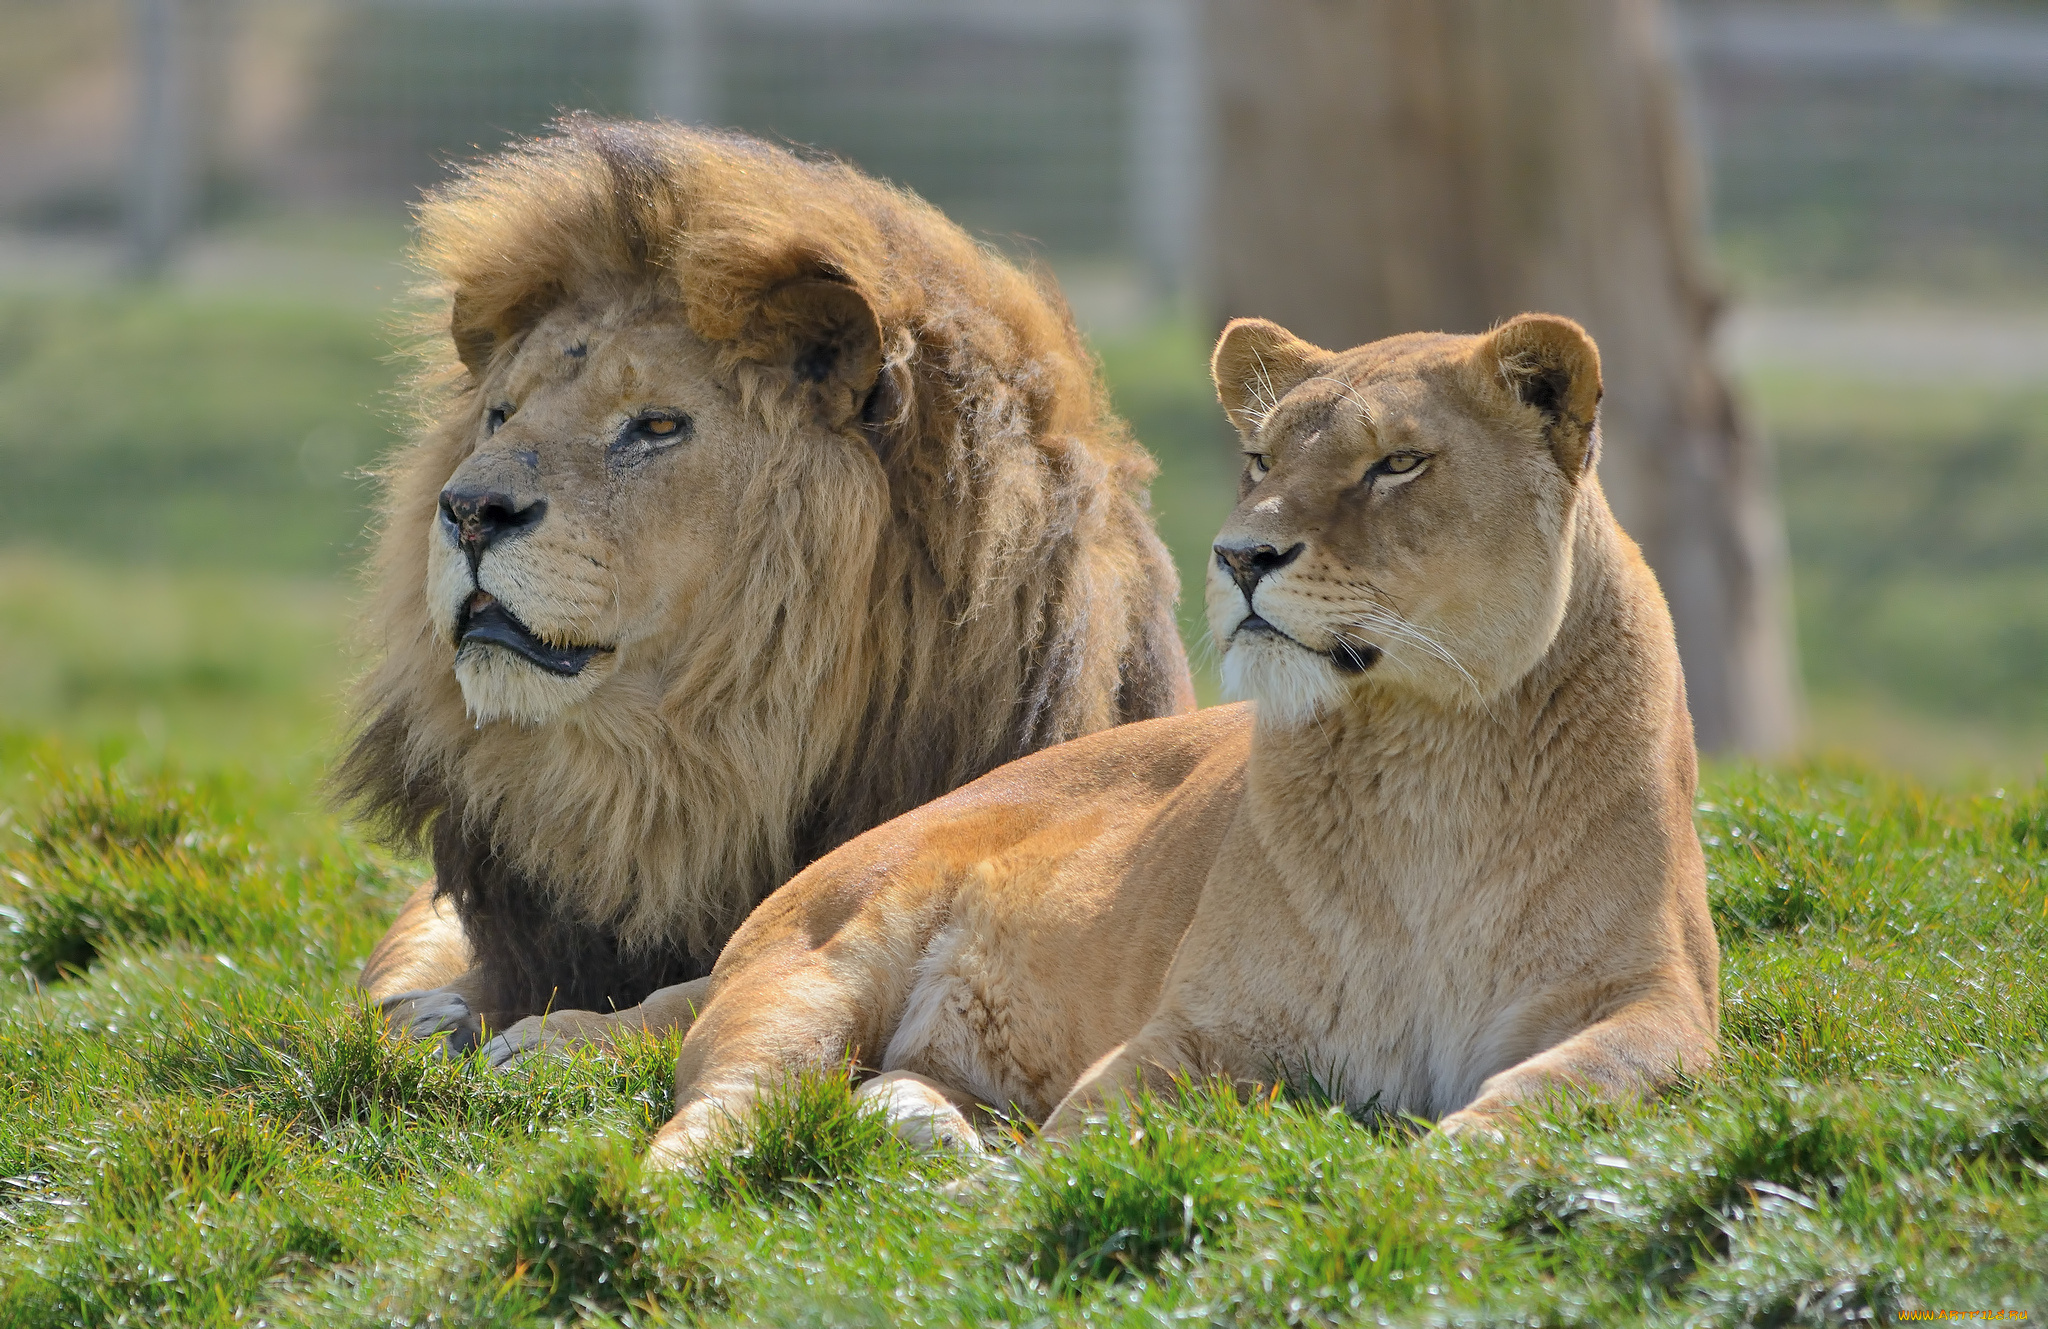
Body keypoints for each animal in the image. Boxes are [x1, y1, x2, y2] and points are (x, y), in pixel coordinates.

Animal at [342, 119, 1196, 1048]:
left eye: (656, 425)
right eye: (501, 414)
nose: (468, 510)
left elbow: (704, 985)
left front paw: (551, 1034)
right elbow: (402, 971)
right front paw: (428, 1011)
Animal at [638, 309, 1712, 1163]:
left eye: (1398, 462)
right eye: (1261, 460)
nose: (1239, 556)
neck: (1429, 753)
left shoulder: (1658, 1002)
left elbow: (1556, 1088)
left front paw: (1438, 1167)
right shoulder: (1204, 1022)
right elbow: (1093, 1126)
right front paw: (1022, 1207)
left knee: (882, 1089)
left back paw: (935, 1136)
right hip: (809, 976)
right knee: (712, 1115)